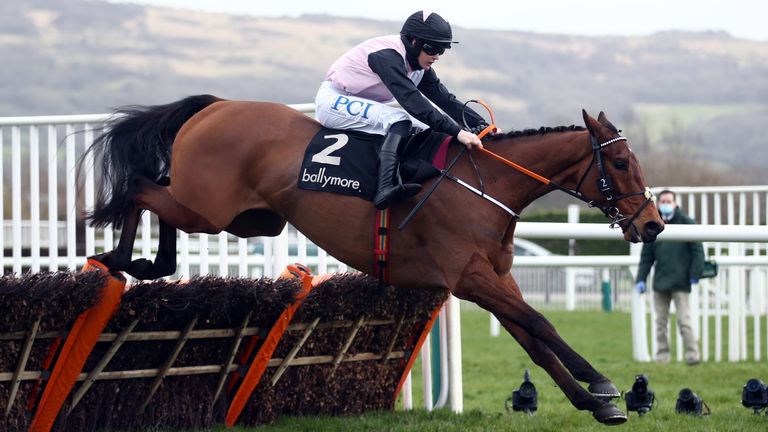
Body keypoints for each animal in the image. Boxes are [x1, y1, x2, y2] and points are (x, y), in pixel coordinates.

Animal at [81, 95, 664, 426]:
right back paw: (122, 257)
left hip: (250, 218)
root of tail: (215, 104)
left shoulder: (496, 278)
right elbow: (543, 324)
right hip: (210, 205)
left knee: (156, 192)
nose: (654, 225)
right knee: (141, 187)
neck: (488, 185)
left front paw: (593, 403)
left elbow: (536, 343)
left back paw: (147, 263)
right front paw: (606, 387)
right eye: (619, 161)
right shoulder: (469, 275)